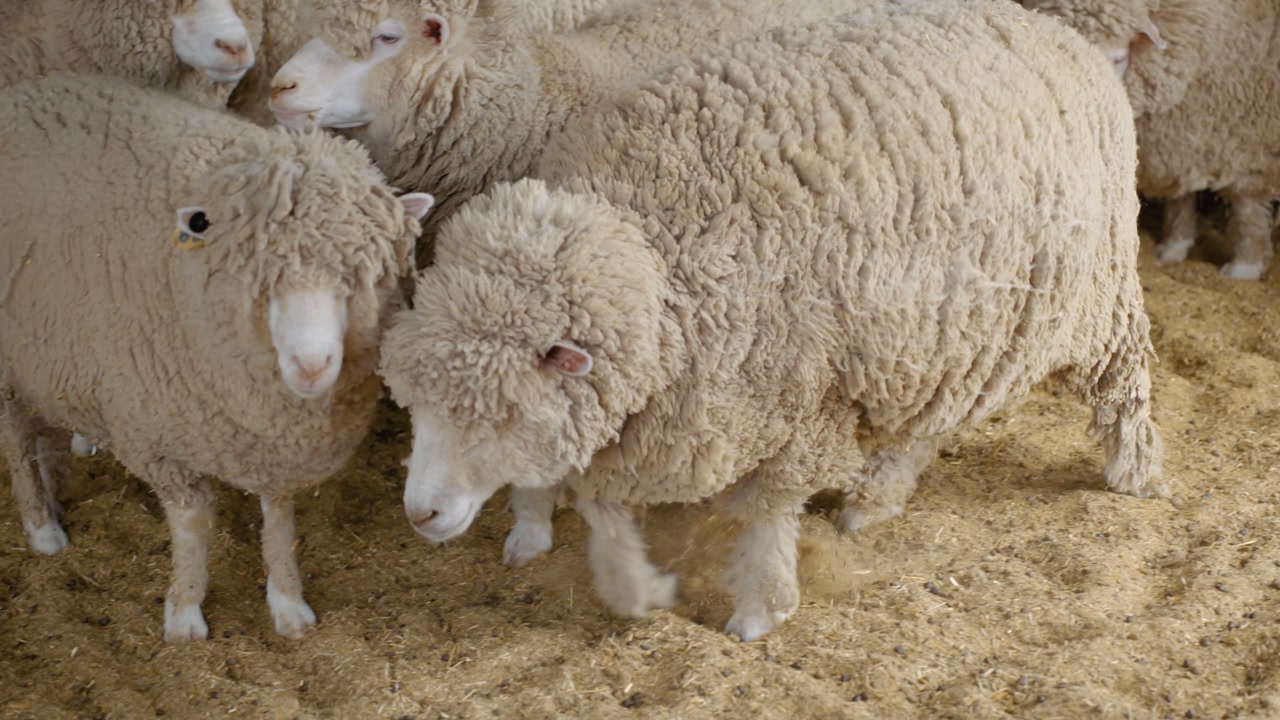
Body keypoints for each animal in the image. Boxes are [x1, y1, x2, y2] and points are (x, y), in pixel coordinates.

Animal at [0, 75, 433, 643]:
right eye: (261, 285)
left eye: (358, 278)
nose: (312, 366)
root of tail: (23, 92)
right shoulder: (159, 439)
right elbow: (192, 526)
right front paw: (184, 610)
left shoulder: (271, 443)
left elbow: (280, 520)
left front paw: (287, 602)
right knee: (16, 440)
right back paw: (41, 526)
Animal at [377, 0, 1167, 641]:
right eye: (415, 405)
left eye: (502, 413)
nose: (418, 517)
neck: (660, 262)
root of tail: (1061, 35)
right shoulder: (648, 417)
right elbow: (603, 505)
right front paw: (638, 589)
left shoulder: (796, 396)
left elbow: (766, 513)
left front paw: (761, 607)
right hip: (963, 326)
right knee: (933, 423)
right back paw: (874, 501)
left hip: (1096, 295)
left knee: (1125, 383)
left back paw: (1134, 473)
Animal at [1020, 0, 1280, 279]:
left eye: (1118, 58)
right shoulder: (1177, 140)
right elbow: (1180, 196)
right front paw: (1174, 246)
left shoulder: (1248, 140)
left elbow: (1247, 208)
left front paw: (1246, 265)